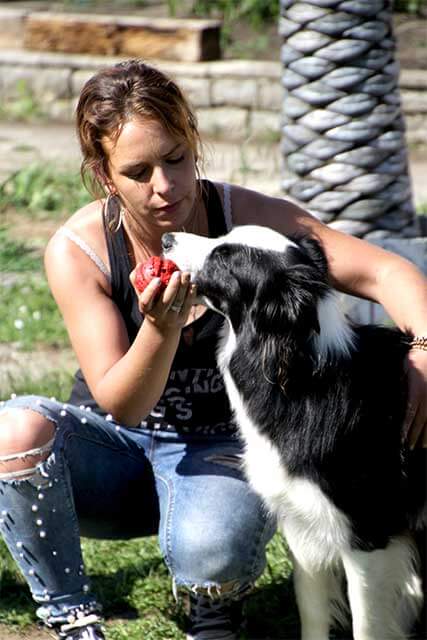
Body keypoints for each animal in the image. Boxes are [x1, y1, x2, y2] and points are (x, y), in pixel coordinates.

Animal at [162, 226, 426, 640]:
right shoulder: (303, 520)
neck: (299, 375)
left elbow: (366, 623)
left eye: (223, 256)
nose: (166, 239)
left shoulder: (368, 534)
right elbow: (312, 610)